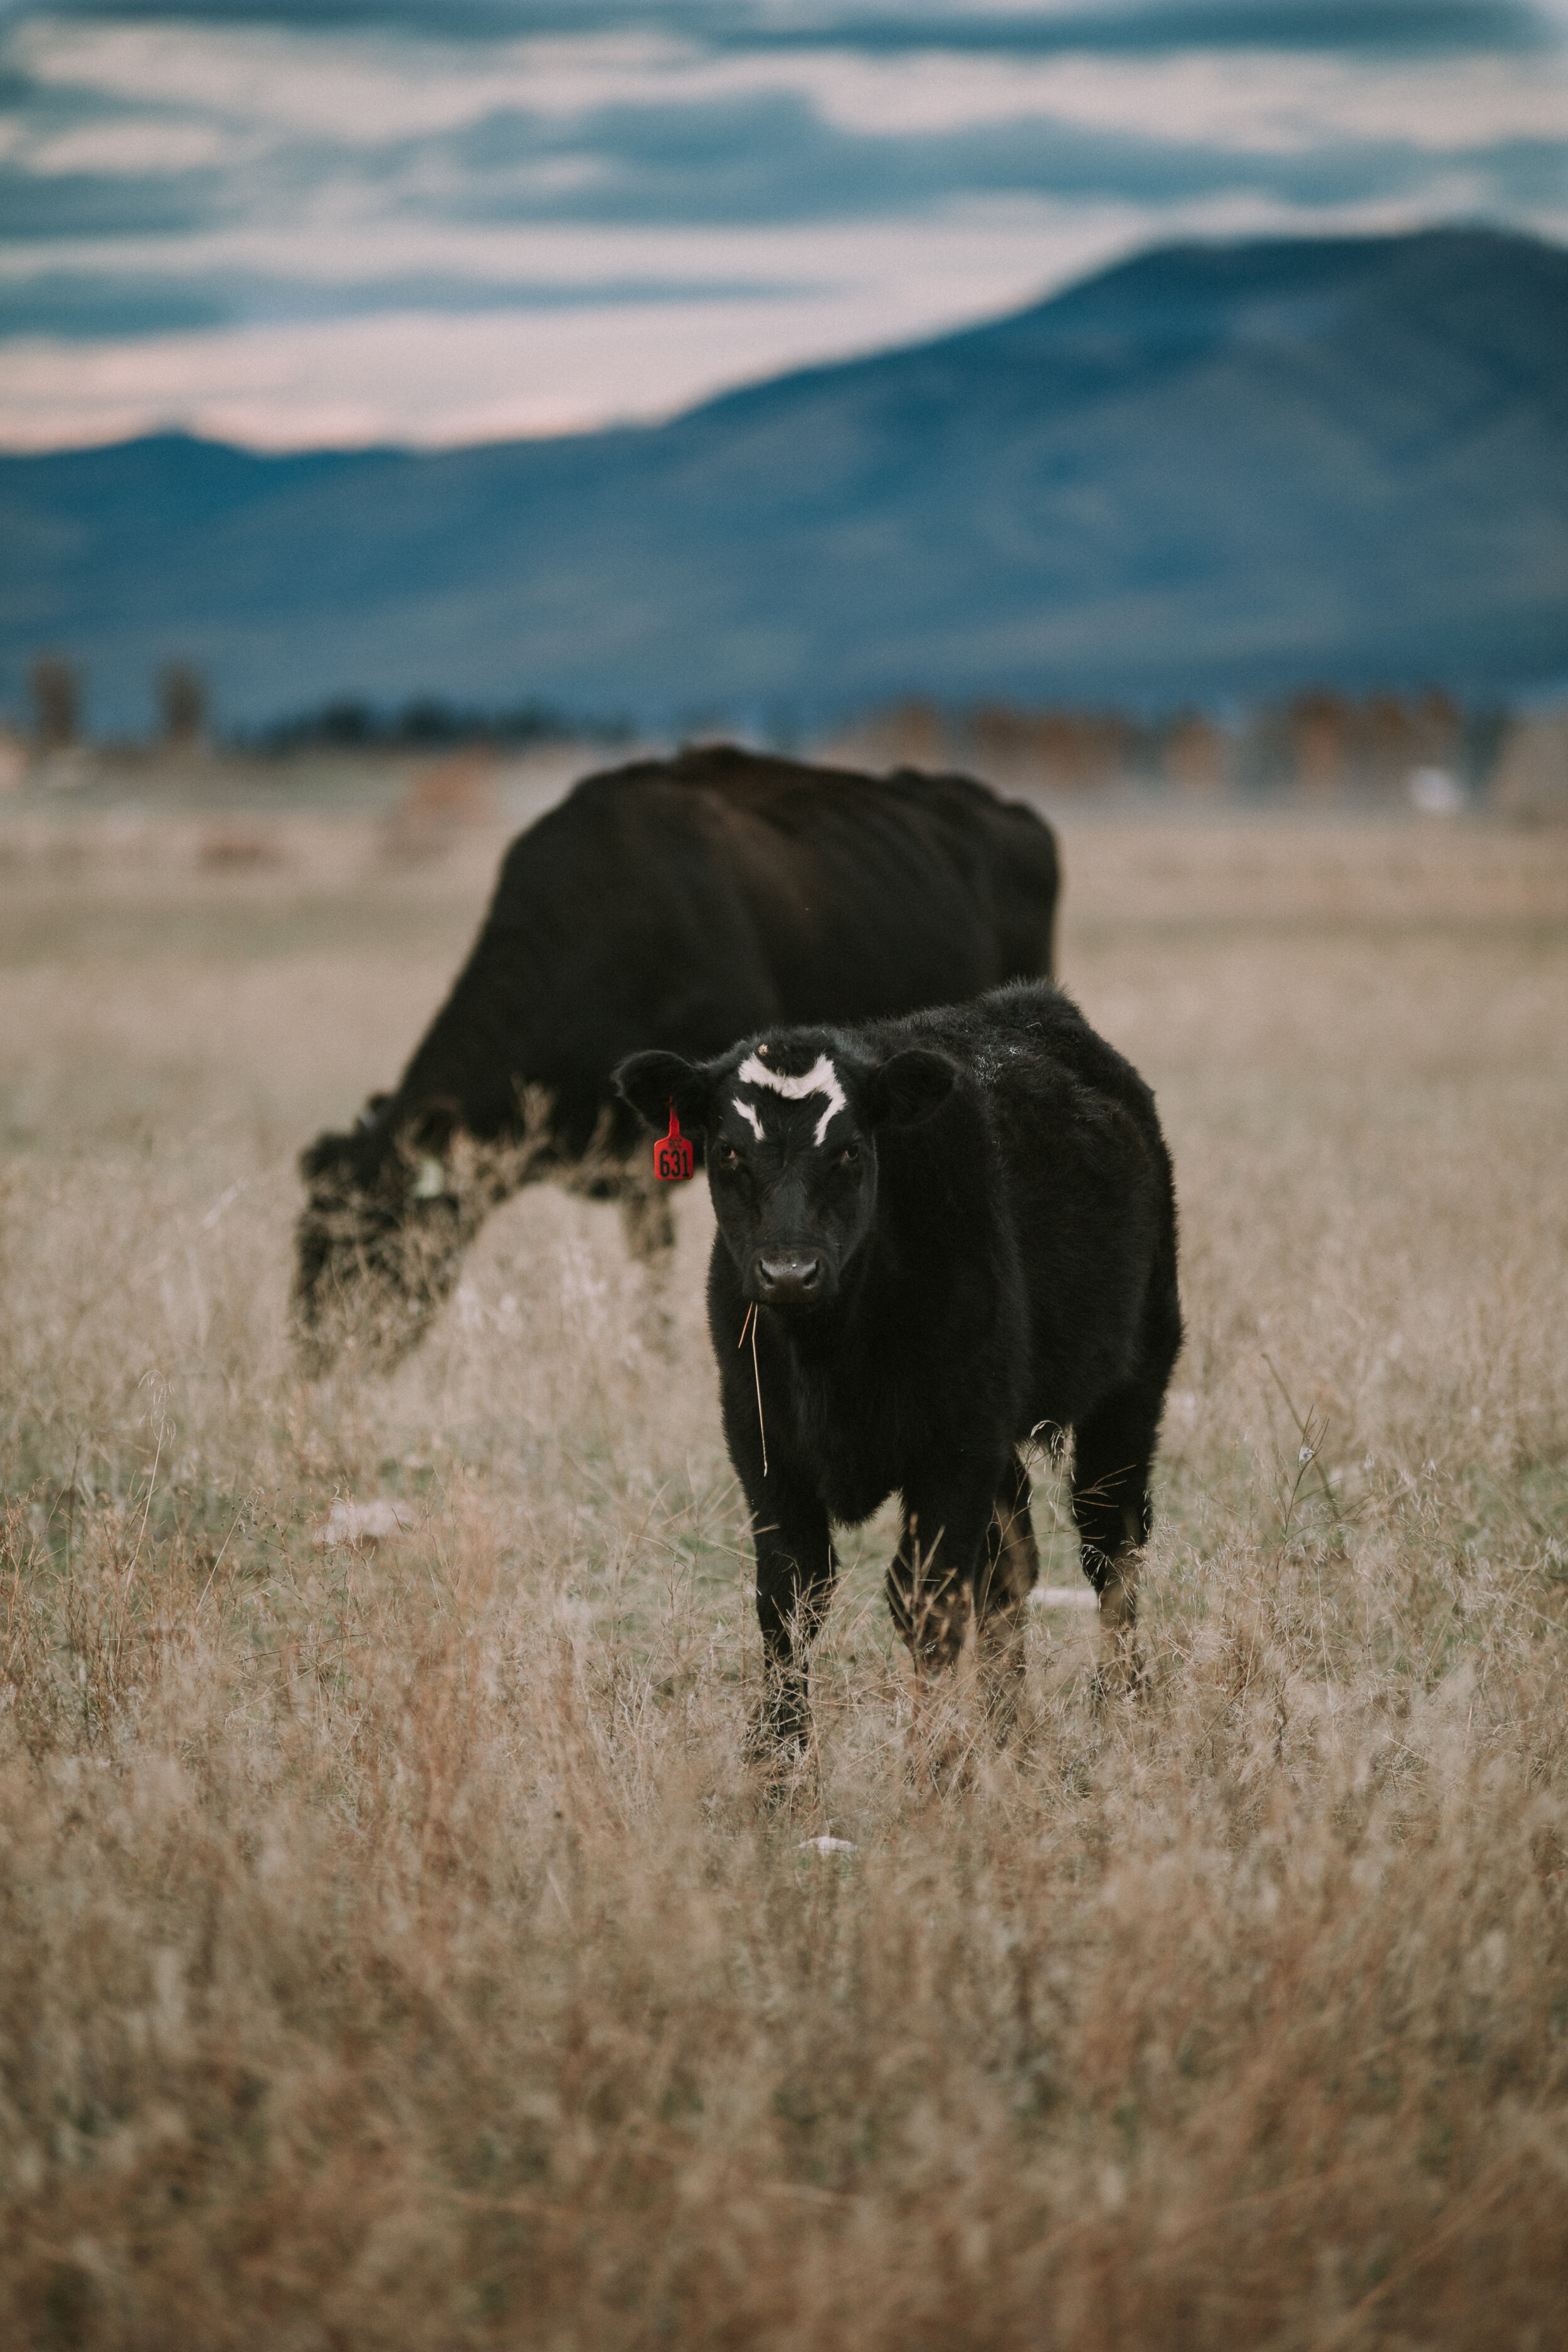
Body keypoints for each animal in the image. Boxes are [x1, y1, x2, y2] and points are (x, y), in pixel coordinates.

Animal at [294, 743, 1059, 1369]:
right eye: (306, 1235)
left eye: (369, 1237)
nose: (317, 1355)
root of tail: (1009, 814)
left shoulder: (657, 1162)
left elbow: (659, 1265)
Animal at [615, 979, 1181, 1748]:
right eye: (727, 1151)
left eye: (852, 1151)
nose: (789, 1272)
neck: (828, 1356)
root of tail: (1038, 1005)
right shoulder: (760, 1439)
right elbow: (789, 1597)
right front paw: (778, 1758)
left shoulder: (956, 1446)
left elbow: (927, 1600)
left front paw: (933, 1764)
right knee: (1012, 1566)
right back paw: (1008, 1725)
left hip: (1132, 1383)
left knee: (1110, 1546)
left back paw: (1124, 1703)